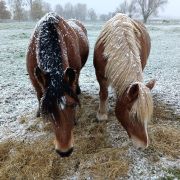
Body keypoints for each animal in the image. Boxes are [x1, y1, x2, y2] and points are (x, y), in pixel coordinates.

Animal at [26, 12, 89, 157]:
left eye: (73, 105)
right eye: (48, 109)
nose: (64, 151)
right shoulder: (35, 81)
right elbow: (39, 96)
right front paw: (39, 113)